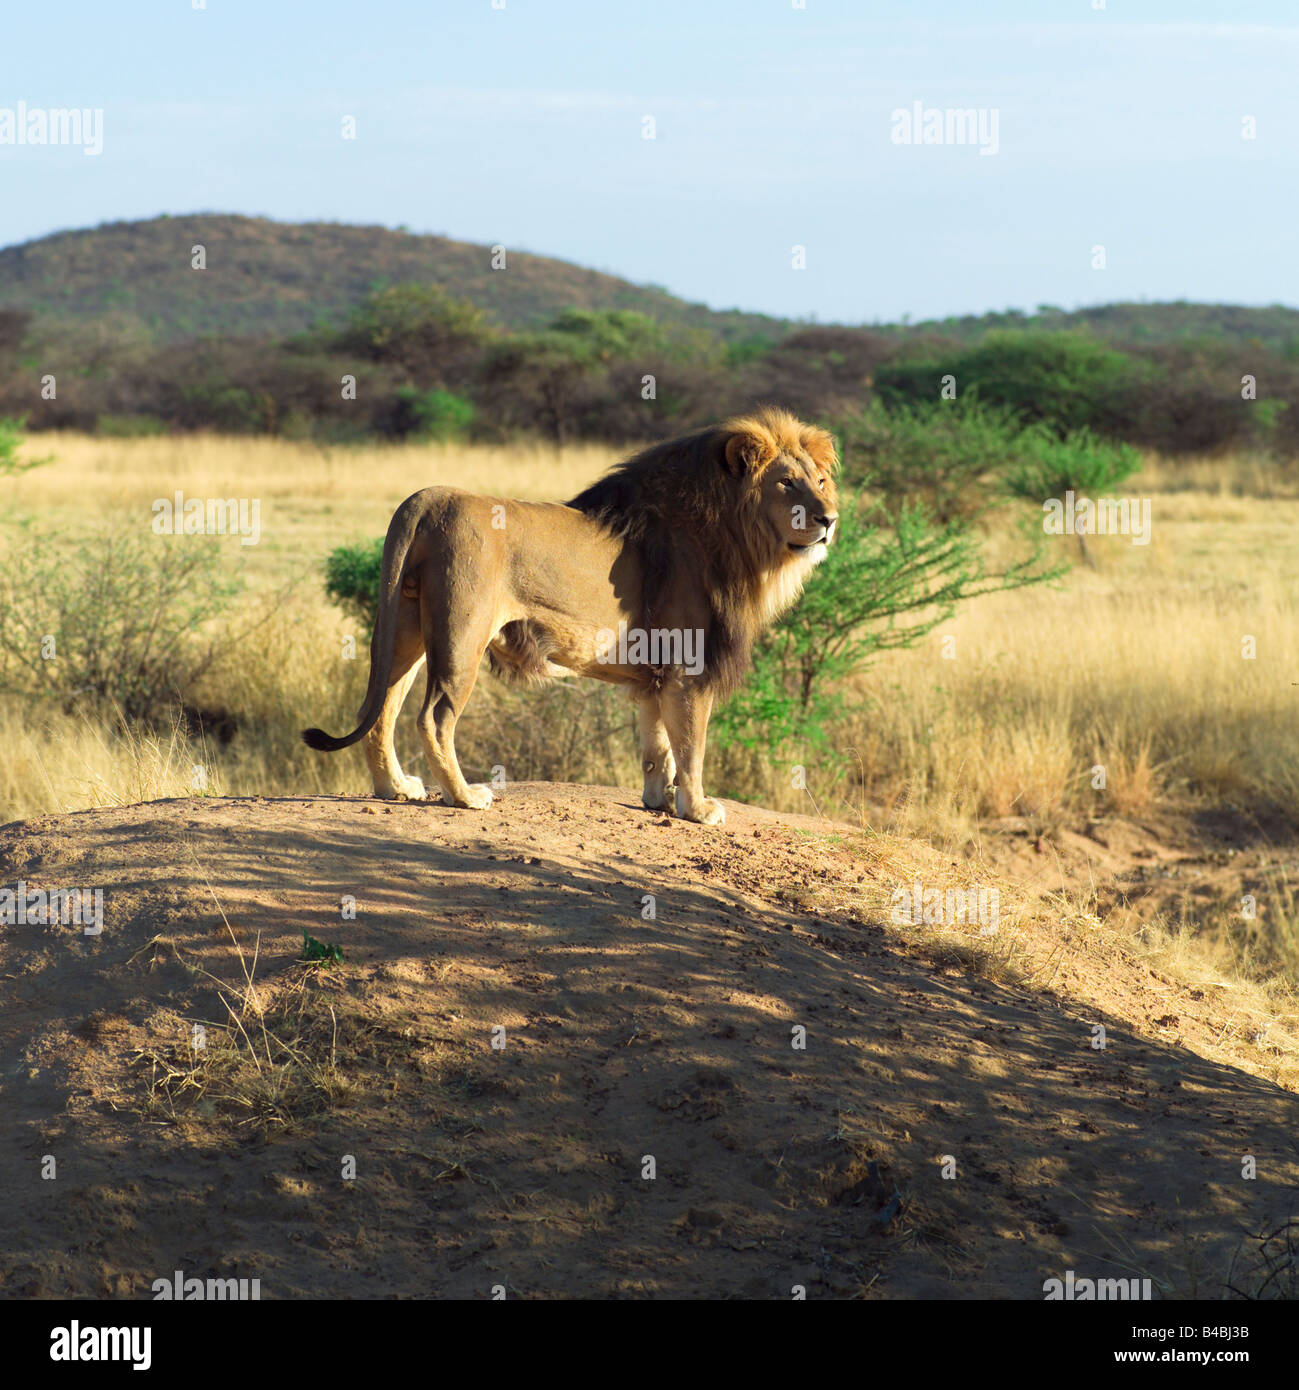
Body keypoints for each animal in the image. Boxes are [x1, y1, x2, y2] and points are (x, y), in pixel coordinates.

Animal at [302, 406, 839, 825]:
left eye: (820, 481)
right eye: (786, 483)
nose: (829, 519)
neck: (740, 539)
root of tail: (430, 496)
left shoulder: (656, 674)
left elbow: (657, 745)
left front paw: (659, 802)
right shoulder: (688, 667)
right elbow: (691, 745)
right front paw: (698, 808)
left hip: (406, 629)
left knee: (380, 709)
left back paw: (395, 788)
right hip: (462, 635)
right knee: (433, 718)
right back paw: (465, 797)